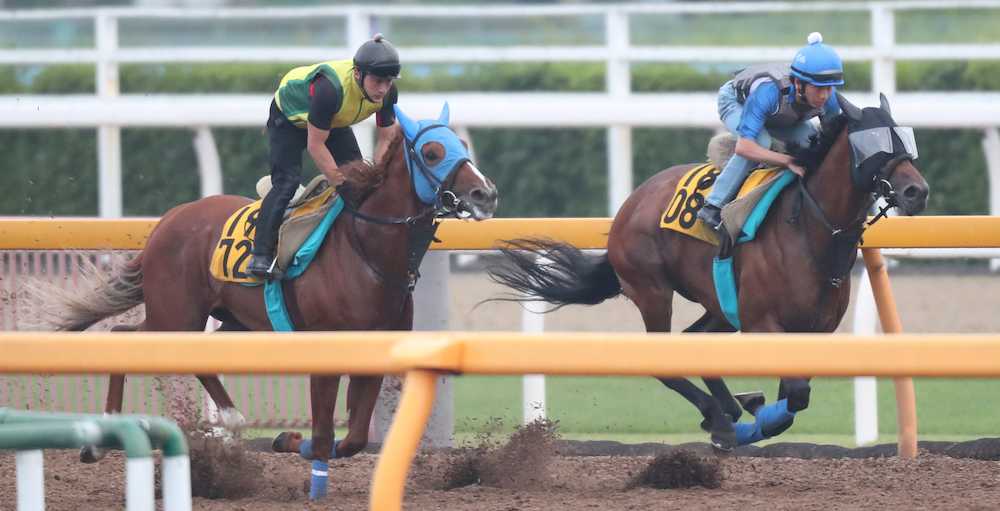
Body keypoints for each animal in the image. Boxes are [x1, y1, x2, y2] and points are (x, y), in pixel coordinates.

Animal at [39, 105, 500, 496]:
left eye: (462, 144)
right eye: (432, 151)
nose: (485, 194)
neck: (366, 250)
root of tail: (167, 221)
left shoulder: (374, 350)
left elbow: (352, 439)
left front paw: (287, 440)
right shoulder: (325, 346)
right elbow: (323, 436)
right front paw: (296, 450)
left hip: (230, 321)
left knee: (178, 349)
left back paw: (225, 420)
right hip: (177, 315)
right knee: (125, 335)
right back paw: (102, 440)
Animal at [492, 93, 928, 452]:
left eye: (905, 139)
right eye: (873, 143)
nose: (916, 191)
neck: (808, 229)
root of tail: (630, 203)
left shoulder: (817, 331)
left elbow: (796, 395)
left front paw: (752, 407)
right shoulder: (762, 324)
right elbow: (793, 397)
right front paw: (753, 418)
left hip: (719, 305)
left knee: (694, 341)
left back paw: (728, 410)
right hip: (652, 290)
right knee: (663, 357)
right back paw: (721, 416)